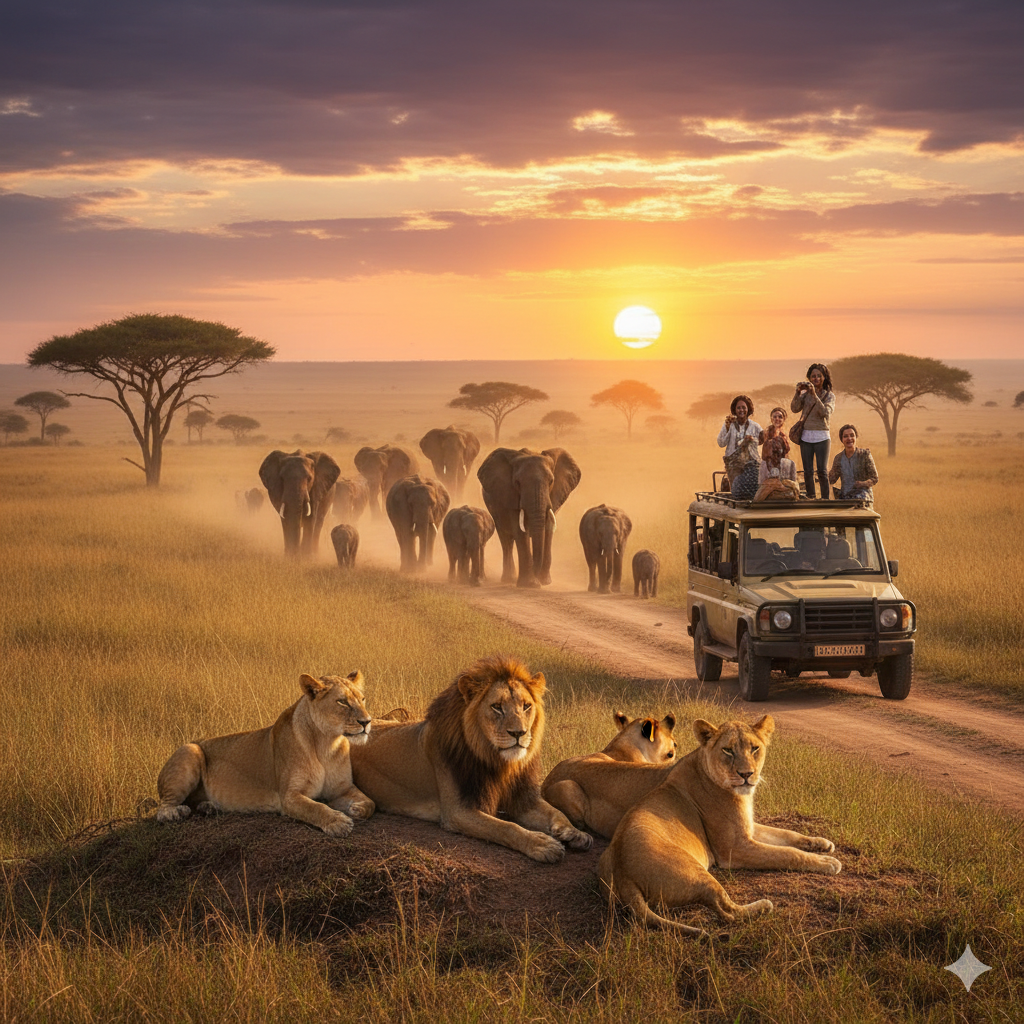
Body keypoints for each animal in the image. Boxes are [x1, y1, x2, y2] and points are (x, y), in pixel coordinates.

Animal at [155, 672, 375, 837]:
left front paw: (356, 809)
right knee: (162, 810)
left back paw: (209, 807)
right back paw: (177, 812)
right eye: (342, 702)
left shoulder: (341, 788)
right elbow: (316, 808)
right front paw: (338, 822)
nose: (367, 722)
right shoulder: (289, 797)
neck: (327, 743)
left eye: (362, 699)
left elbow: (370, 803)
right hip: (190, 749)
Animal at [348, 656, 593, 862]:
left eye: (526, 706)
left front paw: (575, 833)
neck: (497, 762)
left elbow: (556, 811)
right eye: (497, 707)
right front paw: (542, 844)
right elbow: (505, 827)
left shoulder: (522, 799)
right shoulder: (458, 811)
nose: (519, 733)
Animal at [477, 447, 582, 588]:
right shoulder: (509, 496)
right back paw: (509, 579)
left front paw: (545, 582)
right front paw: (531, 584)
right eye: (517, 483)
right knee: (506, 540)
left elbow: (548, 531)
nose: (537, 577)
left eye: (551, 481)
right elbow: (520, 532)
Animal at [598, 715, 841, 936]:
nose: (746, 774)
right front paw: (827, 862)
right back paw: (763, 906)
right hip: (695, 872)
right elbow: (788, 853)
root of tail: (623, 873)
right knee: (726, 911)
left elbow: (788, 834)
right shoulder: (734, 848)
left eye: (754, 748)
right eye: (728, 751)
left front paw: (822, 843)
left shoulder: (749, 829)